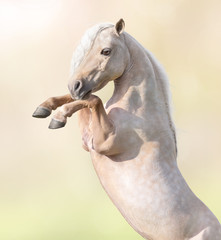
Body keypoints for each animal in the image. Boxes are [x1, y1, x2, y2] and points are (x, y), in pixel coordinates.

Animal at [32, 19, 220, 240]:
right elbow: (85, 99)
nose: (75, 85)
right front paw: (44, 108)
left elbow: (93, 99)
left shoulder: (104, 142)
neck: (141, 109)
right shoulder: (88, 141)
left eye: (106, 51)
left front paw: (58, 117)